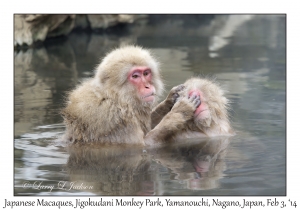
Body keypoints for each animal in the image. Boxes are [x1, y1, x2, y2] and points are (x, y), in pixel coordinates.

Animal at [61, 45, 234, 145]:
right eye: (135, 76)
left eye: (146, 73)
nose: (147, 85)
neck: (118, 99)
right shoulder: (111, 117)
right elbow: (144, 145)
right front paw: (179, 111)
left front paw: (169, 100)